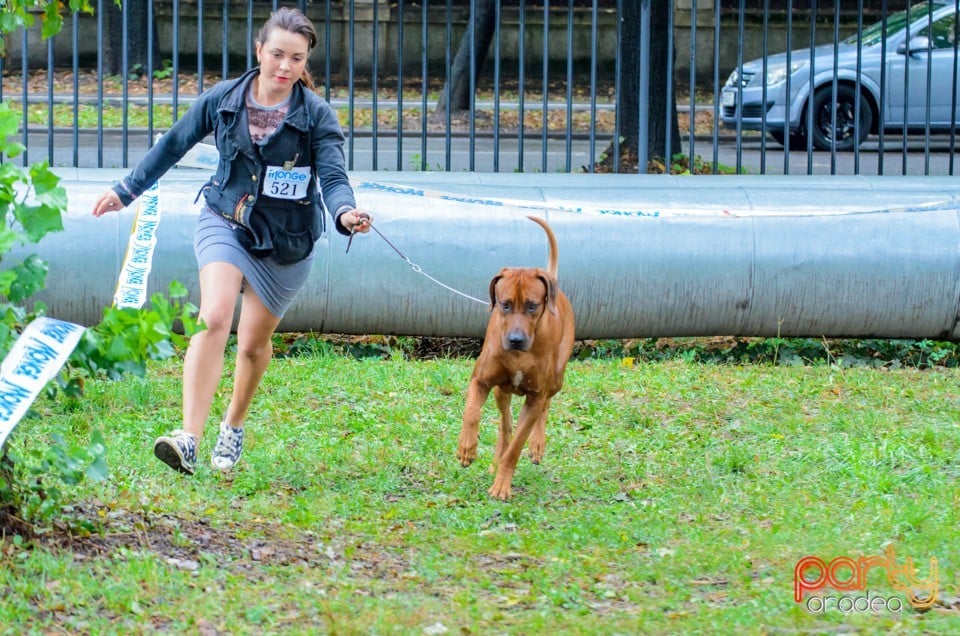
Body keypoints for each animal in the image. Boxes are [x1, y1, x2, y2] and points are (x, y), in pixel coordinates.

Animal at [456, 216, 568, 500]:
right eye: (504, 304)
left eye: (532, 305)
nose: (516, 340)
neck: (519, 356)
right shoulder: (481, 381)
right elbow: (471, 412)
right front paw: (467, 449)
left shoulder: (536, 395)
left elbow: (517, 445)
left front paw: (502, 485)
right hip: (500, 389)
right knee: (504, 423)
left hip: (556, 380)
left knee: (544, 406)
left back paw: (536, 444)